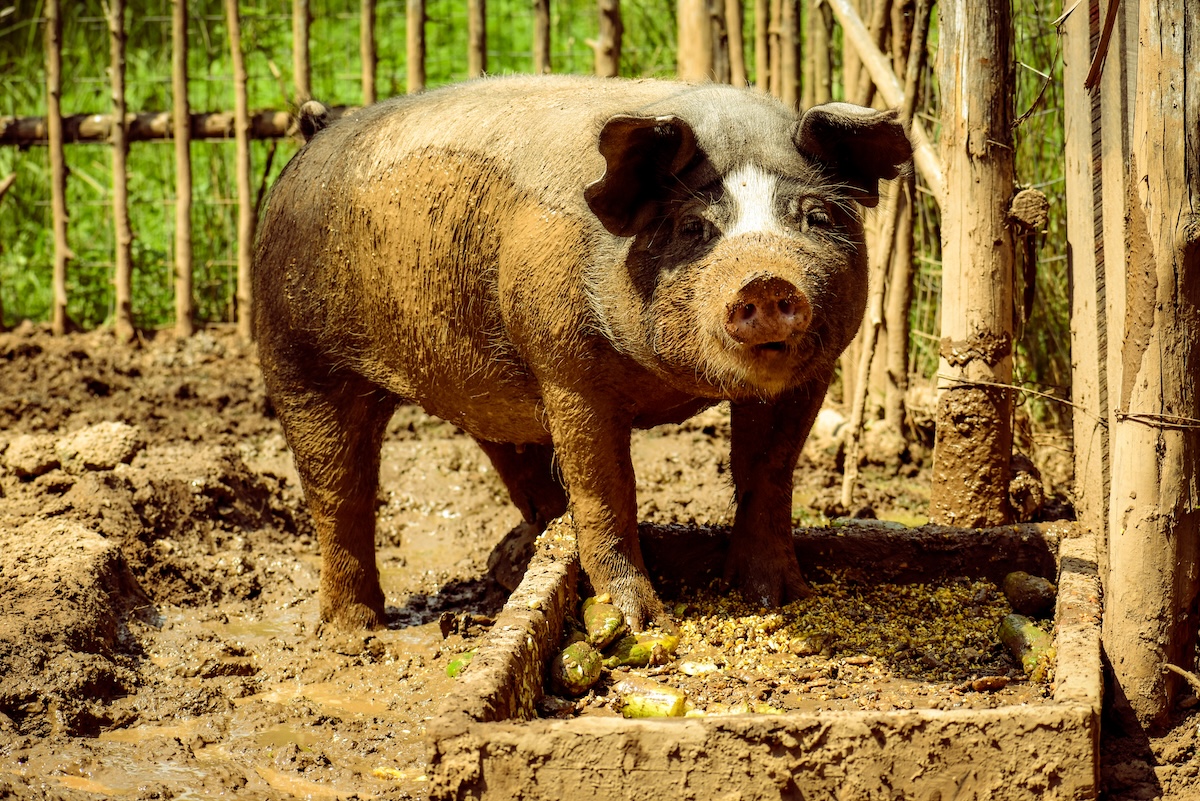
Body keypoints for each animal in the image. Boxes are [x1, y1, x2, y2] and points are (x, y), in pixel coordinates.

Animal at [253, 75, 912, 631]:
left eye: (816, 216)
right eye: (694, 227)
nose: (766, 281)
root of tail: (317, 131)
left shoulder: (811, 375)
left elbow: (768, 473)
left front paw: (782, 599)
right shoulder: (567, 368)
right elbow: (605, 488)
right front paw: (645, 625)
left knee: (523, 473)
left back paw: (510, 567)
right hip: (294, 351)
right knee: (338, 488)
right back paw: (355, 636)